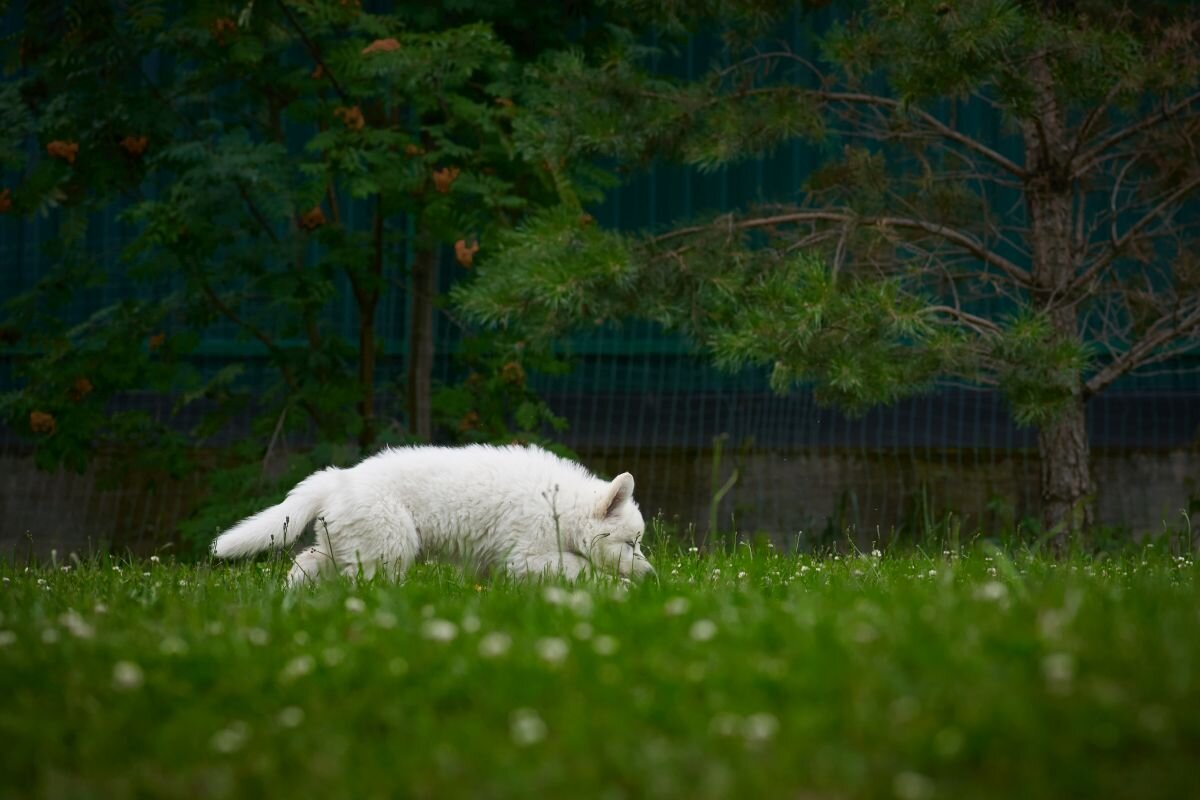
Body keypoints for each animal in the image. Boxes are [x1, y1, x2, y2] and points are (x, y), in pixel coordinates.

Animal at [211, 441, 652, 585]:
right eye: (631, 543)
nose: (652, 576)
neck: (564, 507)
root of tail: (338, 478)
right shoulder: (528, 554)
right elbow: (581, 568)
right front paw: (620, 590)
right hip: (389, 544)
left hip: (347, 543)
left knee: (306, 561)